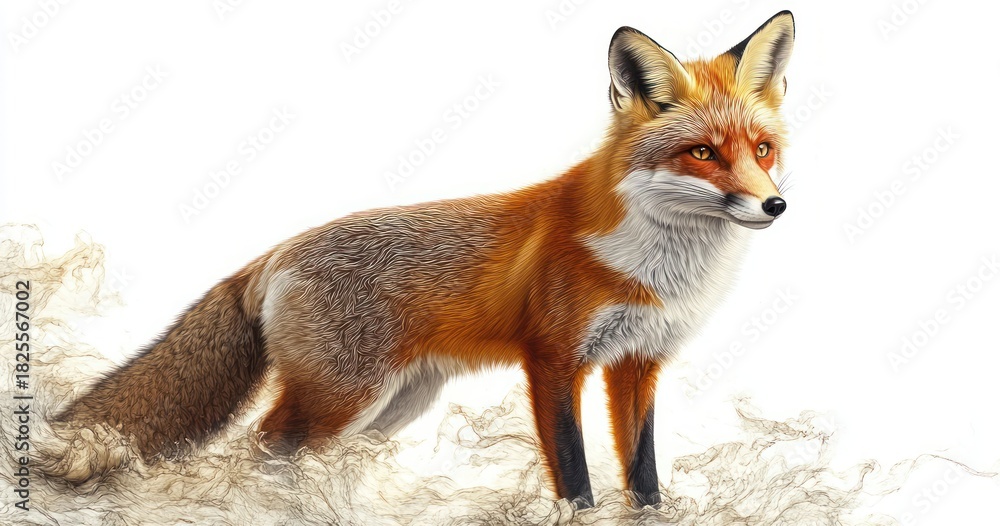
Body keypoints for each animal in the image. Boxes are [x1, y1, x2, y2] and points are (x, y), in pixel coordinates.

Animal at [53, 11, 795, 511]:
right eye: (702, 153)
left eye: (761, 149)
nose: (775, 205)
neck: (654, 268)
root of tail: (275, 252)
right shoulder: (554, 359)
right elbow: (575, 472)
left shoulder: (639, 362)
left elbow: (642, 473)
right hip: (344, 394)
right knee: (264, 442)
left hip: (396, 404)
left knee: (307, 456)